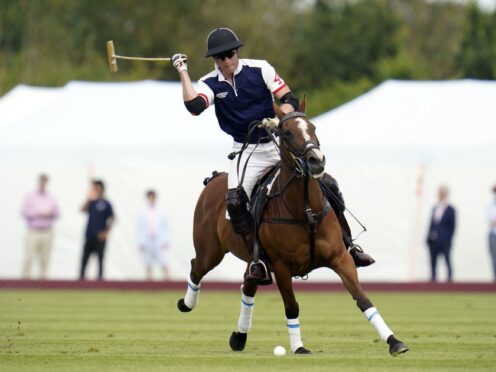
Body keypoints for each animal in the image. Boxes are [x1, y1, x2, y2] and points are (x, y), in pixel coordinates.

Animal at [176, 101, 408, 354]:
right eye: (286, 133)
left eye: (313, 128)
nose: (316, 160)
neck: (305, 211)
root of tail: (215, 178)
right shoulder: (281, 266)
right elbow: (292, 306)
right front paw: (299, 347)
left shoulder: (340, 258)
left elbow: (363, 299)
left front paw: (395, 342)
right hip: (211, 250)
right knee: (197, 267)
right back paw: (186, 304)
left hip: (252, 258)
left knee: (248, 285)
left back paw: (238, 337)